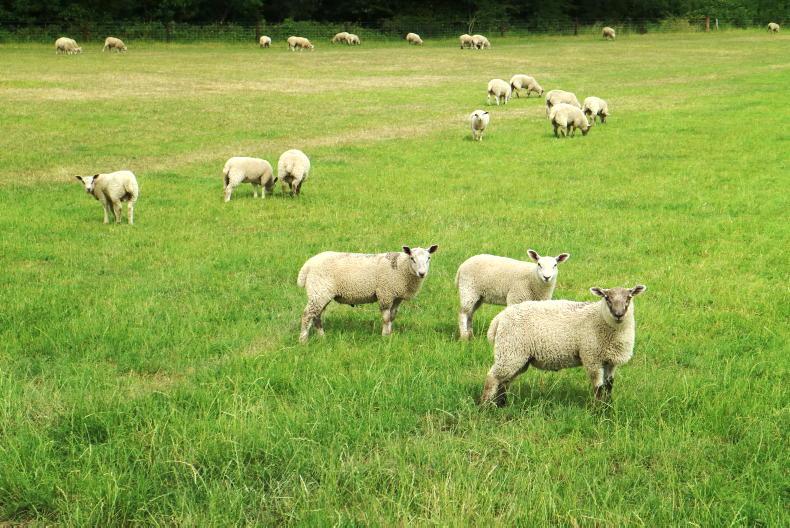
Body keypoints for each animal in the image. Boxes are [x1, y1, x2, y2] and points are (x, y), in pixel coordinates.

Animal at [297, 245, 438, 342]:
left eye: (429, 258)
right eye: (412, 258)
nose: (422, 273)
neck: (400, 267)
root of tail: (307, 266)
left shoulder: (396, 297)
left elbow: (392, 317)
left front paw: (390, 334)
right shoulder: (385, 293)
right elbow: (386, 318)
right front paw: (385, 336)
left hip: (321, 293)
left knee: (317, 315)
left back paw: (322, 337)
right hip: (319, 290)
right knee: (307, 315)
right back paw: (303, 340)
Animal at [481, 284, 647, 406]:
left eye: (629, 297)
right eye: (607, 298)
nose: (618, 314)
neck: (600, 319)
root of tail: (498, 319)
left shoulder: (610, 361)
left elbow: (609, 385)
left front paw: (608, 406)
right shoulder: (592, 357)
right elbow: (598, 387)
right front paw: (598, 409)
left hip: (517, 356)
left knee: (504, 381)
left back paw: (502, 404)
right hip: (511, 350)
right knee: (492, 378)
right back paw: (486, 406)